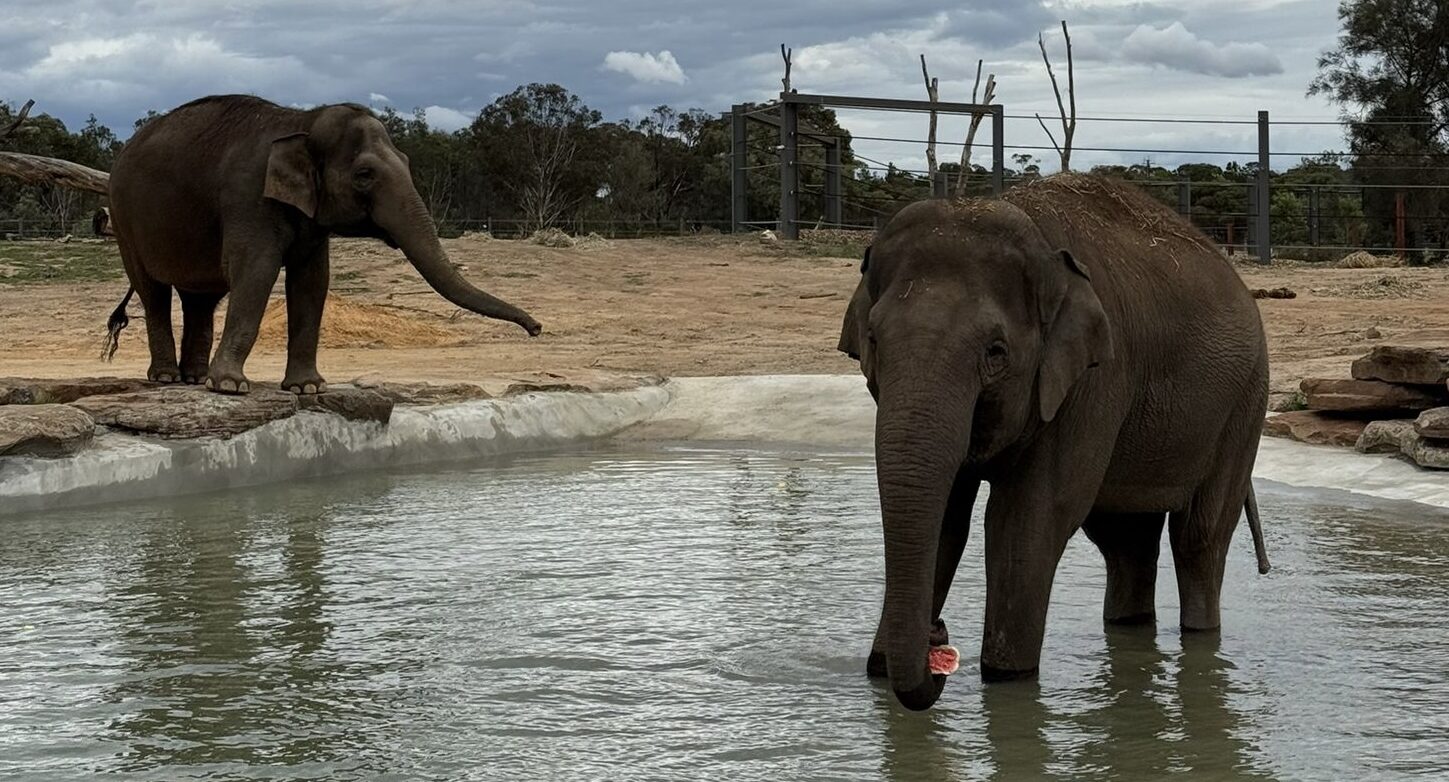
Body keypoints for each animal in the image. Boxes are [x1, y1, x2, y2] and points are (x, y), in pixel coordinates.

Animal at [106, 94, 541, 394]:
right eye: (364, 174)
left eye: (406, 162)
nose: (536, 329)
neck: (302, 120)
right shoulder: (248, 198)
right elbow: (256, 271)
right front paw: (230, 387)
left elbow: (313, 280)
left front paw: (308, 388)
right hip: (124, 218)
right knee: (153, 291)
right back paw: (167, 378)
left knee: (201, 299)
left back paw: (194, 379)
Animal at [838, 174, 1271, 711]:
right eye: (873, 341)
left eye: (996, 352)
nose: (939, 637)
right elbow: (947, 517)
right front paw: (880, 670)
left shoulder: (1093, 379)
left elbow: (1026, 518)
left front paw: (1006, 677)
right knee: (1125, 538)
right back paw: (1130, 630)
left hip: (1244, 404)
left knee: (1199, 537)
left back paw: (1200, 636)